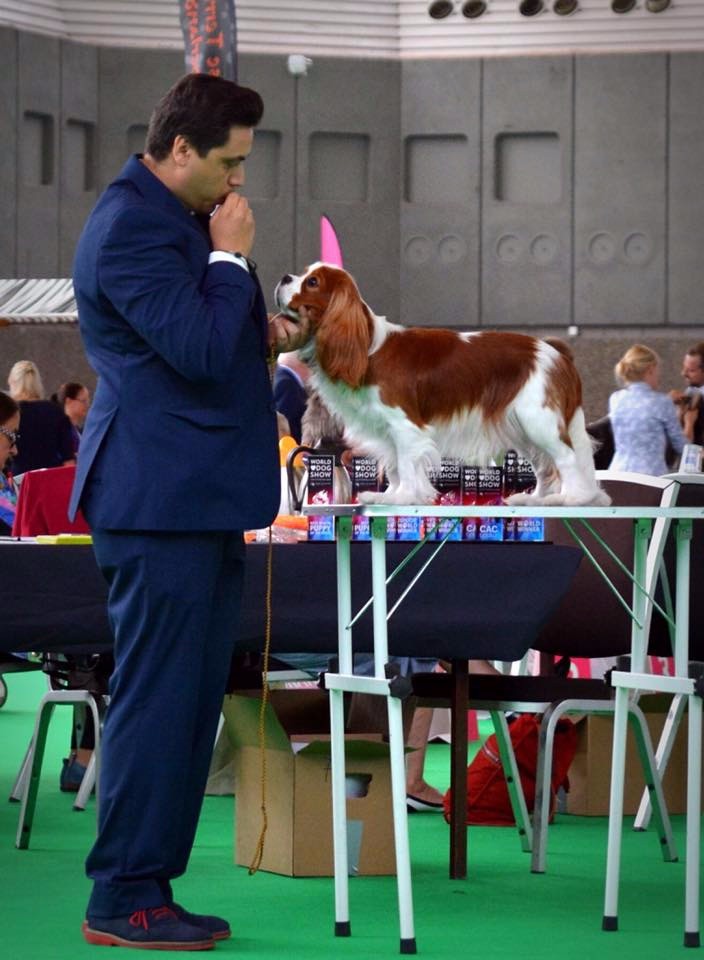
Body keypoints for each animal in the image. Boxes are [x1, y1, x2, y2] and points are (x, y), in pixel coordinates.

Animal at [275, 262, 610, 507]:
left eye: (312, 282)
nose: (284, 276)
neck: (368, 347)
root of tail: (557, 352)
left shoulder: (405, 425)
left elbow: (406, 464)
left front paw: (405, 497)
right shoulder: (386, 429)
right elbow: (394, 466)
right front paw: (390, 495)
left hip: (539, 421)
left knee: (566, 458)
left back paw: (573, 498)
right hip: (524, 428)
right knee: (544, 463)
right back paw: (536, 499)